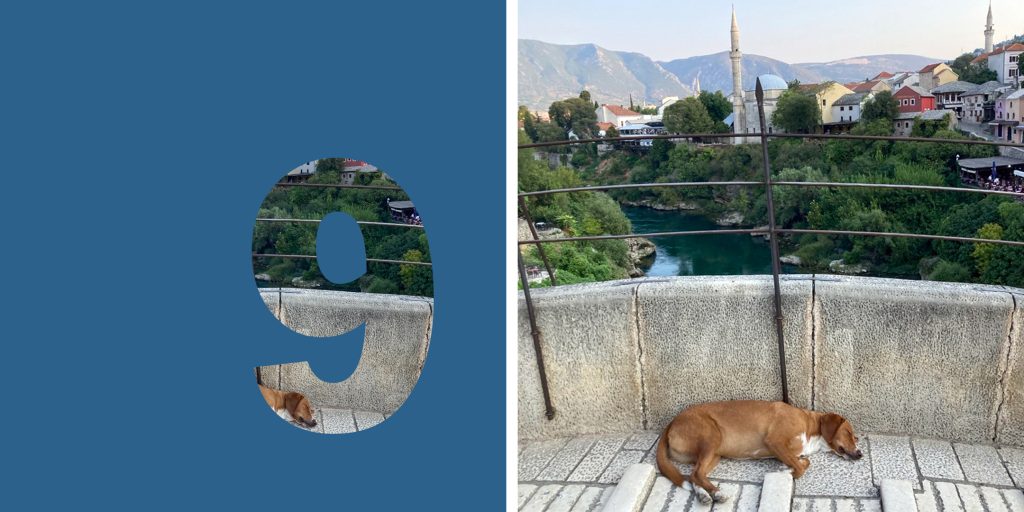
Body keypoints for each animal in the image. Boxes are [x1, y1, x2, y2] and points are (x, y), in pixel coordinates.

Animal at [655, 399, 864, 503]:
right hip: (711, 437)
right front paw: (788, 471)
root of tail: (672, 422)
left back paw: (705, 494)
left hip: (714, 455)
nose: (860, 453)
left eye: (856, 438)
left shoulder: (791, 451)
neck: (810, 426)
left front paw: (785, 468)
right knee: (697, 474)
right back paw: (717, 492)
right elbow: (801, 467)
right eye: (849, 433)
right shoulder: (775, 441)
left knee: (694, 475)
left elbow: (804, 462)